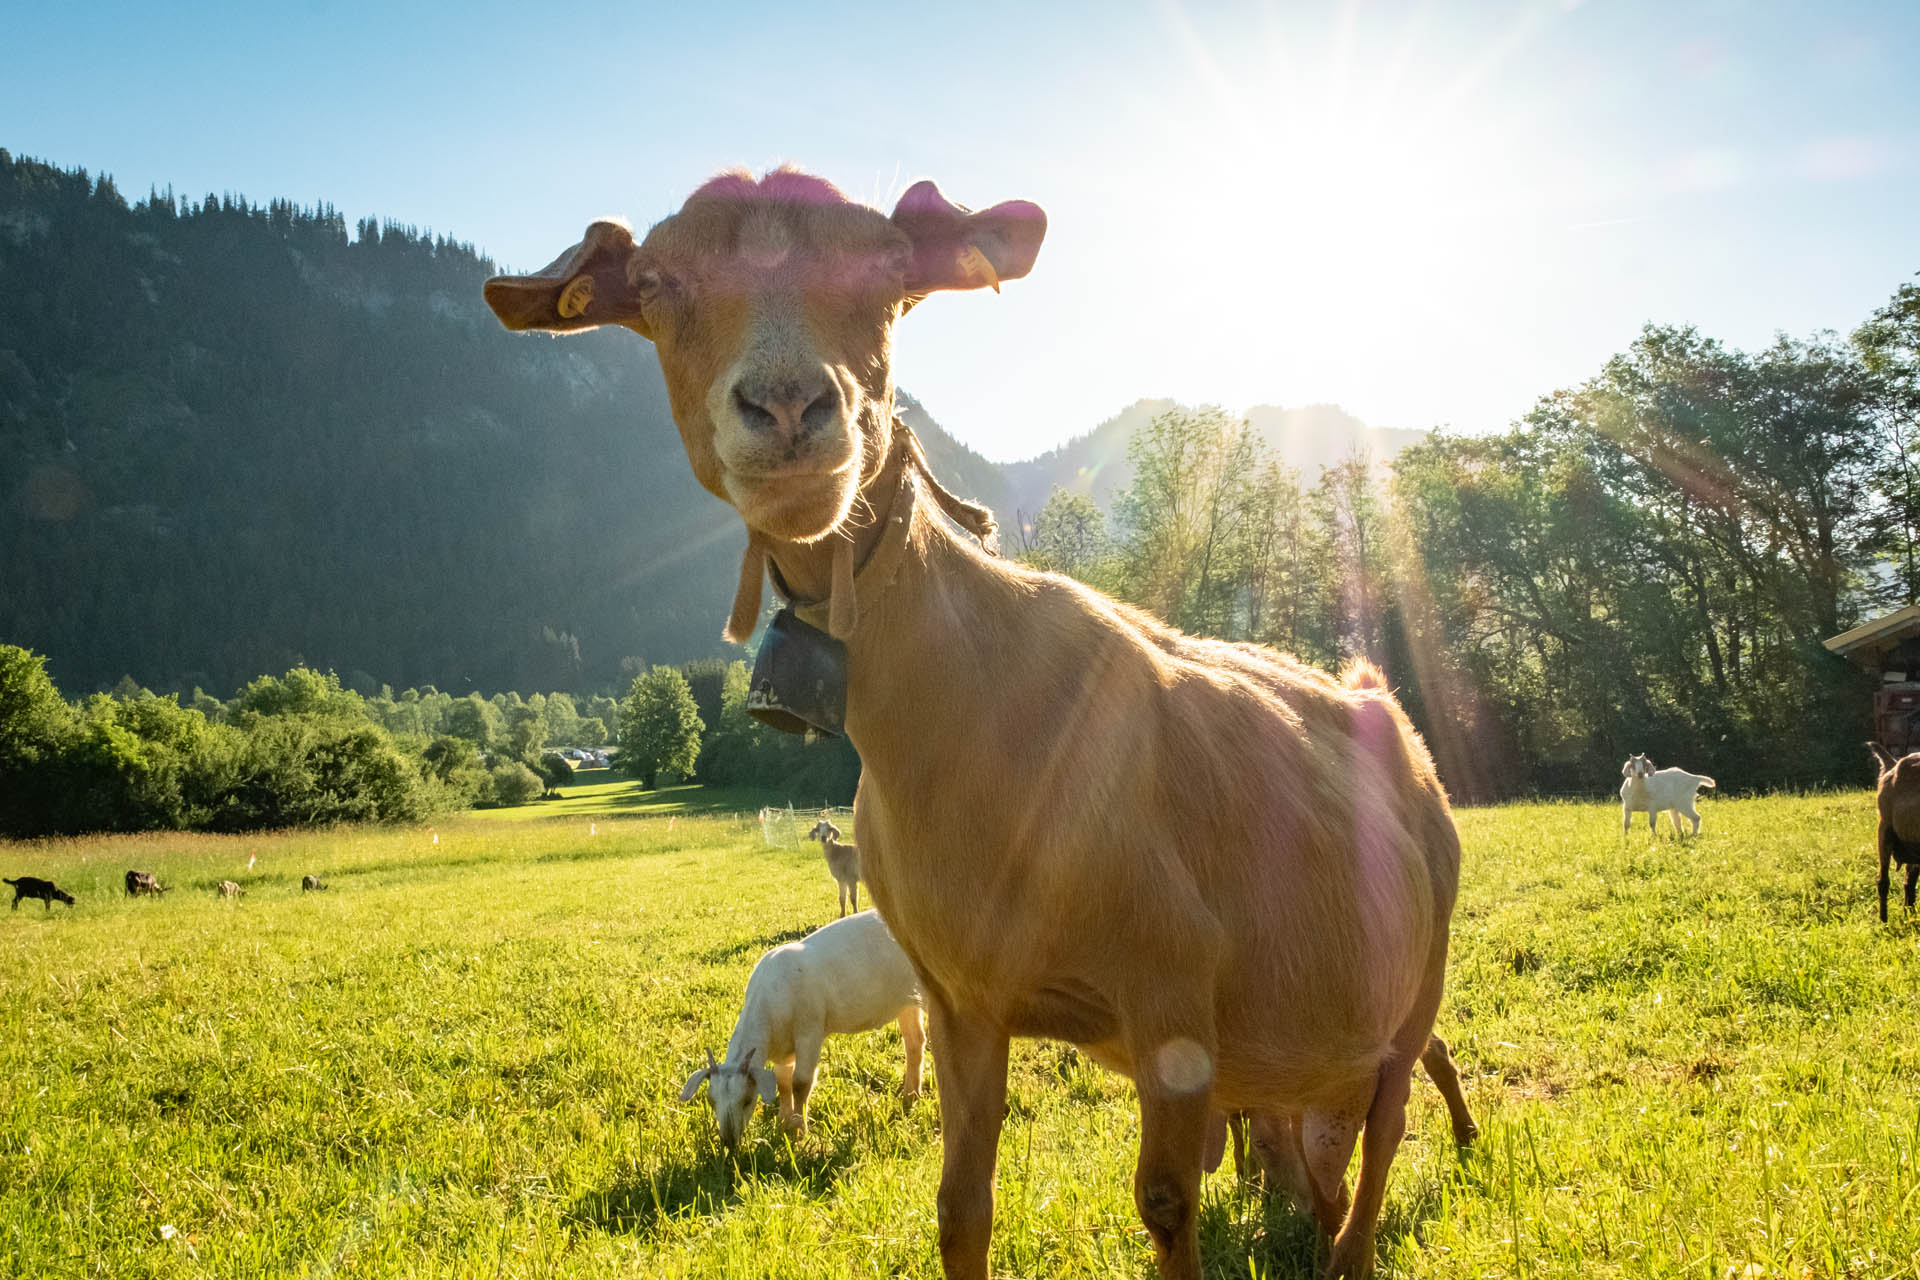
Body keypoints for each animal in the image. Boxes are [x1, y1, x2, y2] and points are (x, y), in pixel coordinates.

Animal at [679, 909, 923, 1150]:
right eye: (711, 1100)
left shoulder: (809, 1032)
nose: (729, 1142)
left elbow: (801, 1083)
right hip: (907, 1002)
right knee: (915, 1042)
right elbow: (783, 1082)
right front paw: (782, 1123)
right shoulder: (781, 1046)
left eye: (747, 1099)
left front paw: (797, 1131)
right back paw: (910, 1098)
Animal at [1870, 743, 1920, 921]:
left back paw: (1909, 914)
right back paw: (1884, 920)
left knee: (1909, 882)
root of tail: (1892, 766)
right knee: (1883, 881)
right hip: (1885, 829)